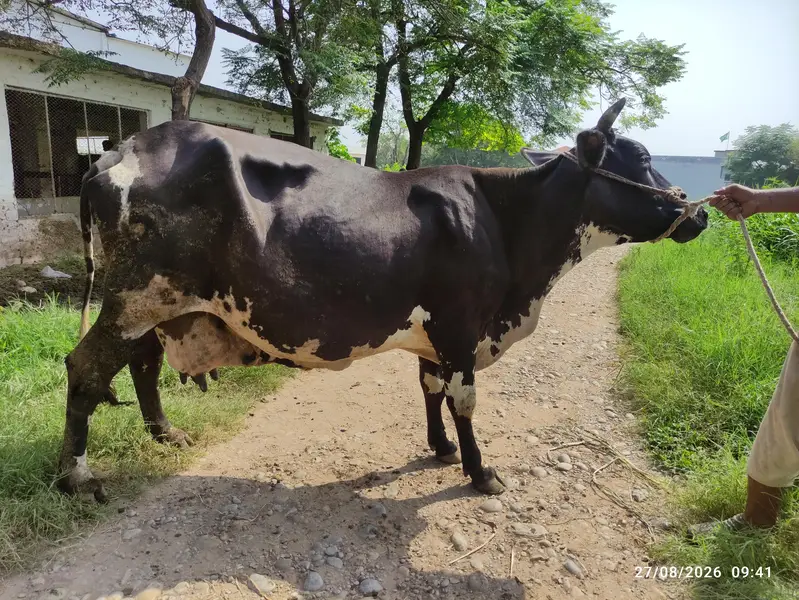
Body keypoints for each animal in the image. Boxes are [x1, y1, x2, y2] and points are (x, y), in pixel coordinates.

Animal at [57, 99, 707, 502]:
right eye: (641, 159)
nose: (697, 213)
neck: (505, 221)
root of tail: (119, 150)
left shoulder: (436, 333)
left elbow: (430, 388)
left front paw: (440, 448)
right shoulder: (461, 326)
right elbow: (464, 400)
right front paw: (479, 471)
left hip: (152, 307)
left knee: (141, 365)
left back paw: (166, 434)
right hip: (134, 298)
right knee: (86, 369)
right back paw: (76, 475)